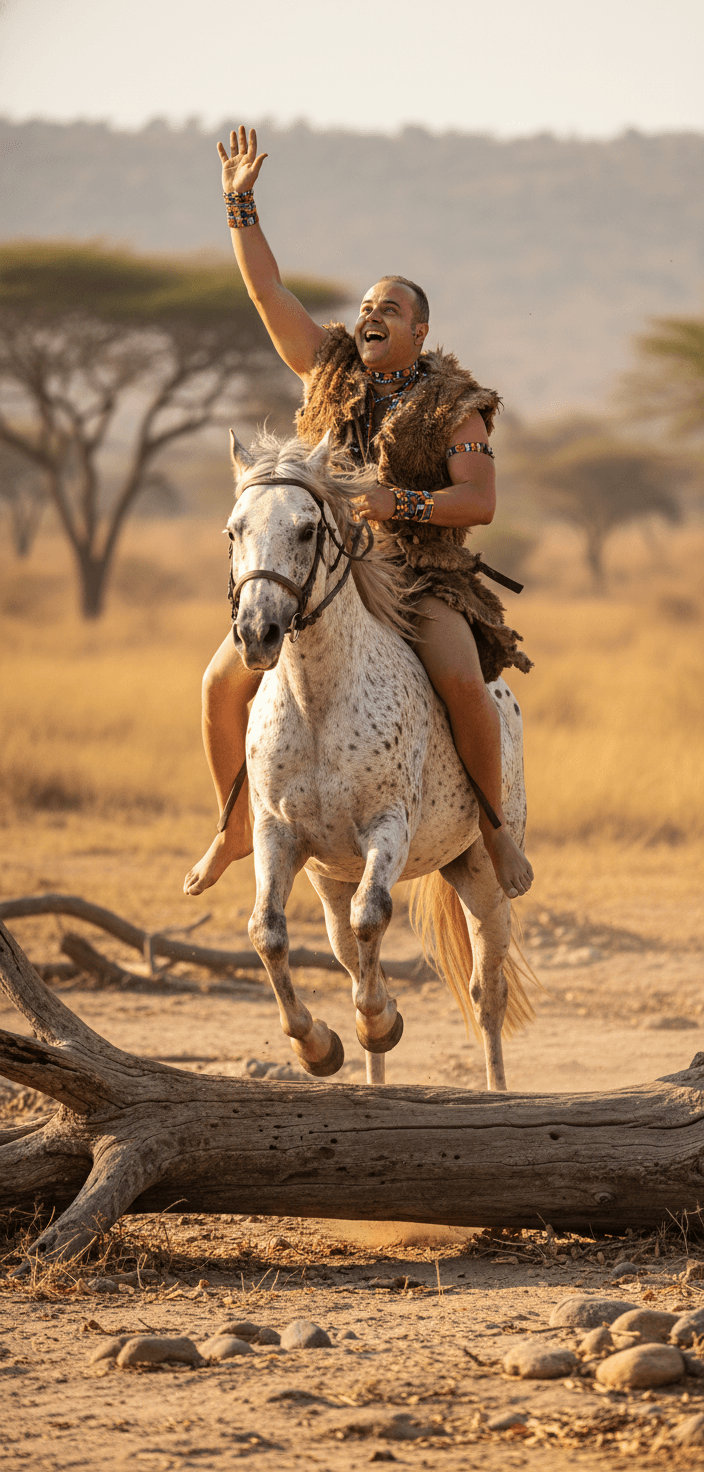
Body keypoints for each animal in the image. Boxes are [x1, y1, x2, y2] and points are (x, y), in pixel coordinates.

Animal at [226, 428, 535, 1090]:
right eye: (233, 530)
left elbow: (374, 916)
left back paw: (497, 1091)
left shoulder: (387, 828)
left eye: (307, 530)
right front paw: (318, 1046)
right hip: (332, 878)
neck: (319, 704)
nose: (257, 632)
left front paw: (380, 1019)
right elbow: (269, 933)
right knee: (349, 956)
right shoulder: (277, 834)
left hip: (481, 875)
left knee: (487, 991)